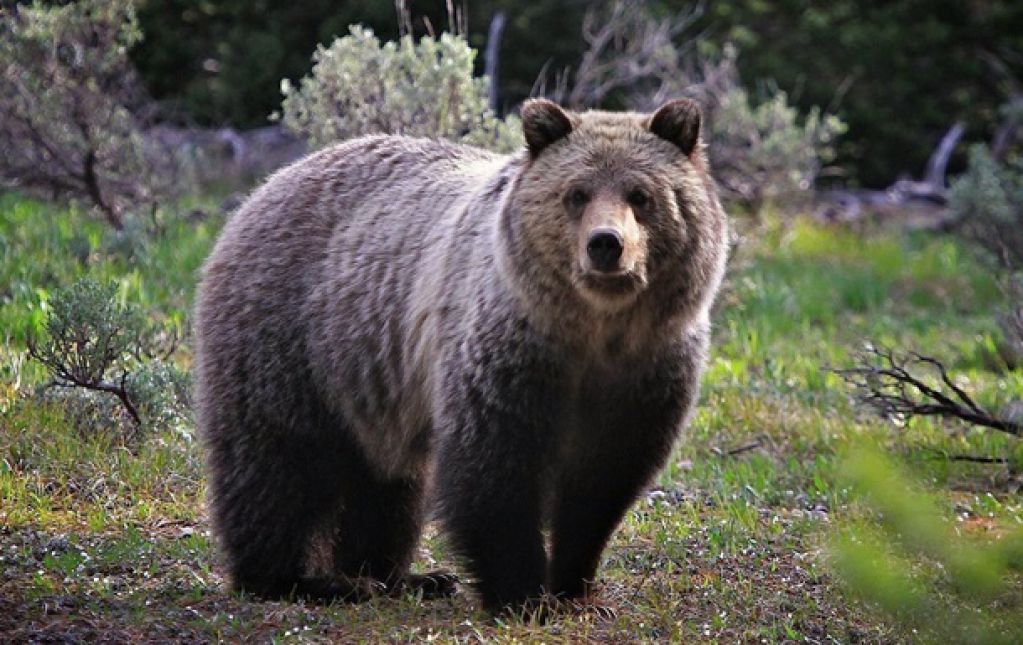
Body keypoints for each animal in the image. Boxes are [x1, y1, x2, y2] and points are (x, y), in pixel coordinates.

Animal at [194, 97, 729, 614]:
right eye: (577, 193)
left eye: (641, 195)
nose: (605, 244)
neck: (593, 331)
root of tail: (265, 187)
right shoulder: (506, 352)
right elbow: (494, 468)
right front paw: (523, 595)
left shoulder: (646, 370)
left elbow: (604, 482)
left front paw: (576, 589)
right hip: (292, 339)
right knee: (276, 462)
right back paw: (300, 580)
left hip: (371, 382)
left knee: (388, 483)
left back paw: (399, 577)